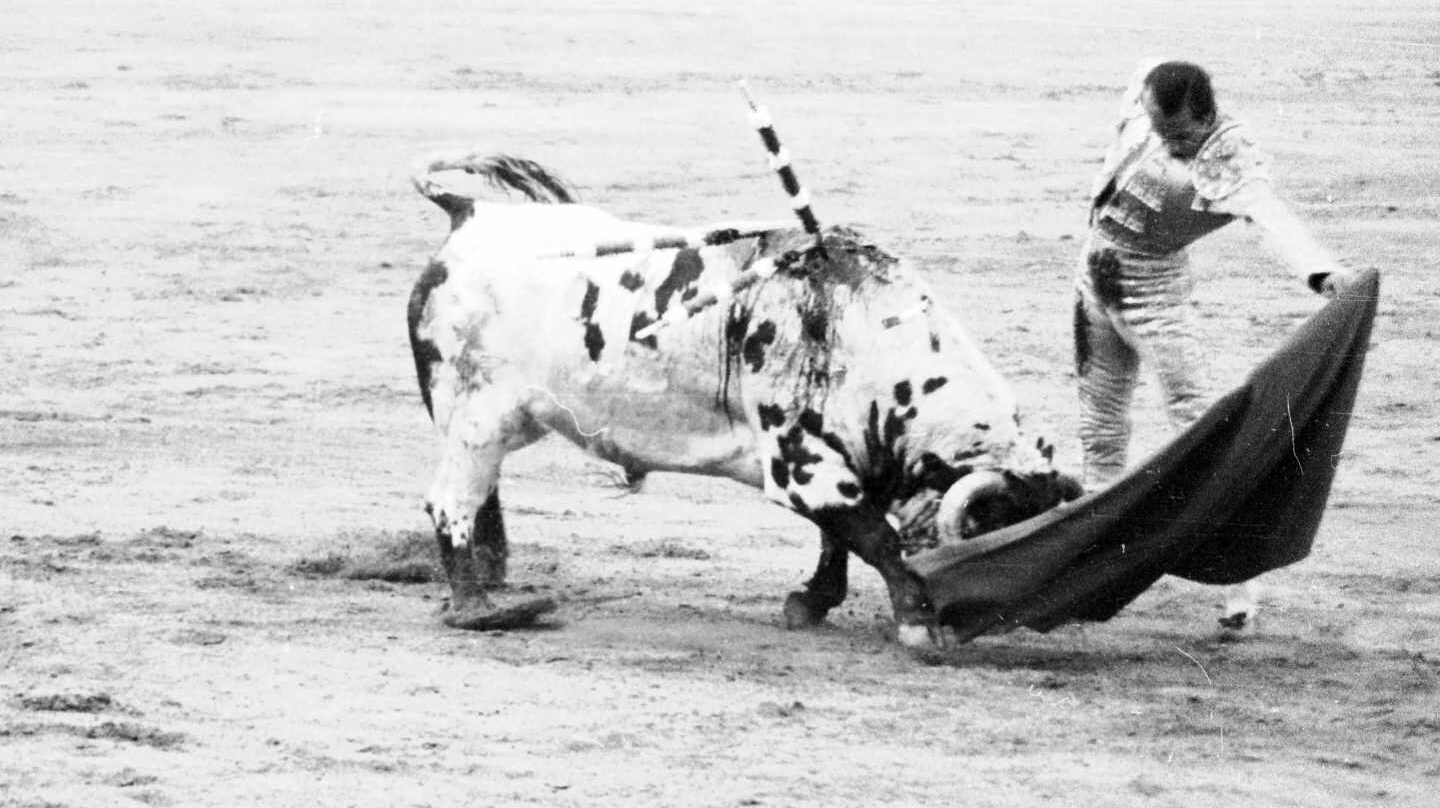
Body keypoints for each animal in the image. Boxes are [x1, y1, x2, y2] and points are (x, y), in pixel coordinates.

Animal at [406, 152, 1082, 642]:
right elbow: (875, 540)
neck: (865, 332)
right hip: (476, 415)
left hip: (506, 421)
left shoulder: (834, 463)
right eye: (999, 534)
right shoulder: (803, 465)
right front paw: (918, 623)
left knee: (483, 495)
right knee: (450, 502)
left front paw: (810, 603)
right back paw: (478, 608)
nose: (1026, 620)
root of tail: (470, 214)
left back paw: (494, 577)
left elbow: (840, 540)